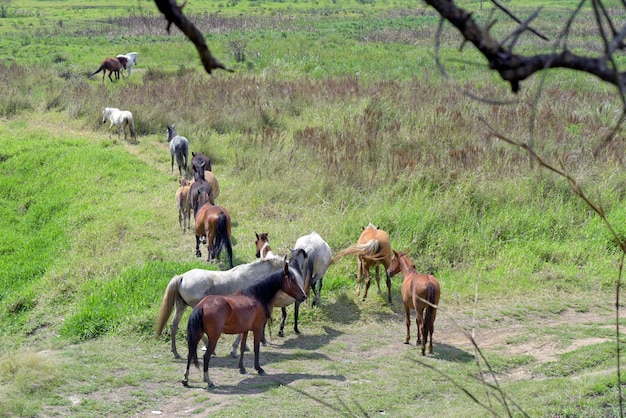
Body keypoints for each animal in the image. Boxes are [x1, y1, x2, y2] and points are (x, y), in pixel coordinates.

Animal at [155, 255, 298, 360]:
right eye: (289, 274)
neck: (252, 277)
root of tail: (182, 277)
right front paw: (235, 350)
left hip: (181, 306)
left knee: (174, 326)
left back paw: (176, 353)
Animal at [182, 260, 306, 390]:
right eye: (292, 280)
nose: (304, 296)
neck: (256, 297)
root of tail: (202, 306)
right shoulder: (257, 329)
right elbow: (256, 348)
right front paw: (258, 368)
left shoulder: (245, 330)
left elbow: (242, 348)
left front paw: (241, 368)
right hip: (214, 337)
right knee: (206, 356)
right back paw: (208, 381)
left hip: (198, 334)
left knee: (190, 354)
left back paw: (185, 379)